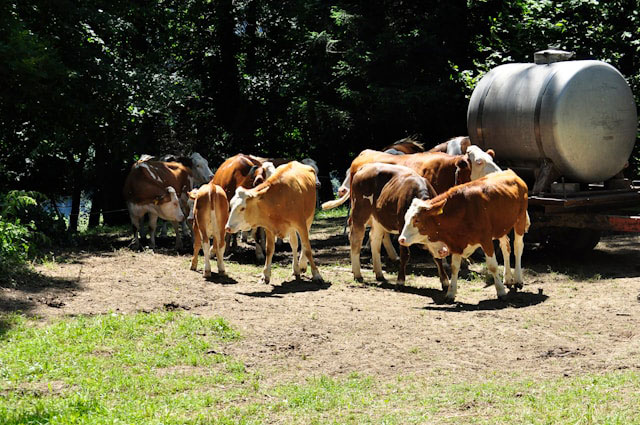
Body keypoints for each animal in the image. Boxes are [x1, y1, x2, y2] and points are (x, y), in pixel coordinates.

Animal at [400, 169, 528, 302]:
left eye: (417, 220)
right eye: (405, 218)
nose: (401, 239)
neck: (463, 210)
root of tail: (510, 173)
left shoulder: (486, 239)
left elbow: (492, 265)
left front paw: (501, 291)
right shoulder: (457, 242)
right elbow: (455, 267)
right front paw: (451, 293)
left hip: (520, 219)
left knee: (517, 247)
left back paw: (518, 279)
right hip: (501, 228)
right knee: (506, 247)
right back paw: (508, 278)